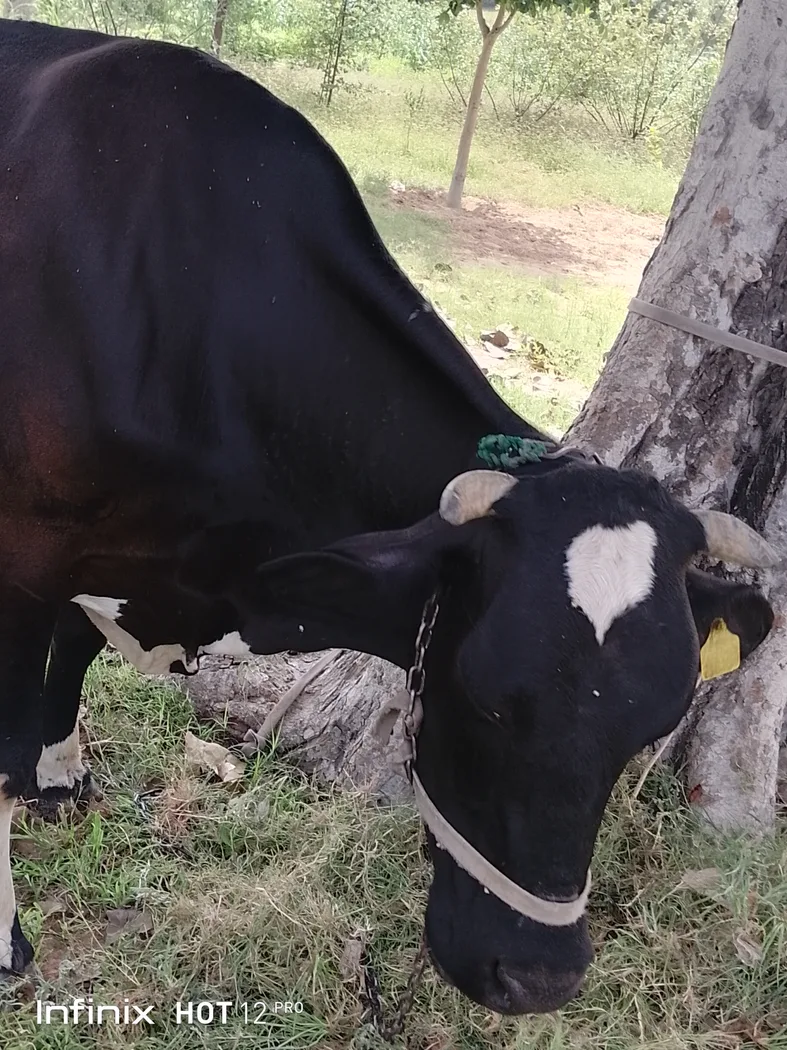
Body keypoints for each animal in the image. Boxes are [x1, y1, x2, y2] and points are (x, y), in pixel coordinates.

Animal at [0, 18, 777, 1016]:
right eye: (485, 698)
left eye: (654, 721)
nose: (538, 978)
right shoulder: (24, 556)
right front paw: (7, 935)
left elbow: (71, 661)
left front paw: (60, 774)